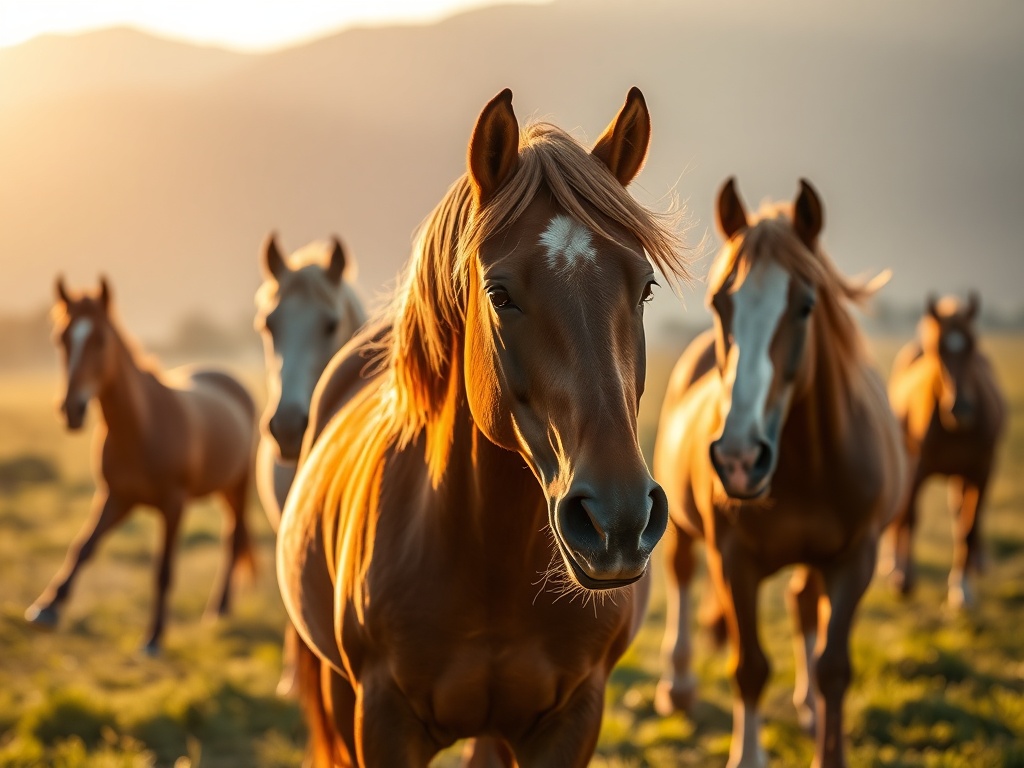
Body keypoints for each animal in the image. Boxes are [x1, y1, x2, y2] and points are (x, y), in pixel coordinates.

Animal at [25, 277, 257, 654]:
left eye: (100, 339)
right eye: (61, 338)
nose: (71, 409)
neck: (141, 427)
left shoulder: (174, 505)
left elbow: (163, 570)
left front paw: (154, 637)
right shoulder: (116, 497)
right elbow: (83, 547)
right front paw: (48, 607)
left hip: (236, 487)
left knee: (234, 541)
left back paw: (219, 610)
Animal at [653, 178, 905, 768]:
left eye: (806, 306)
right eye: (720, 302)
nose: (740, 459)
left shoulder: (855, 559)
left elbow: (835, 668)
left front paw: (828, 744)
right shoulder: (734, 561)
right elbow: (749, 668)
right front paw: (747, 755)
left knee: (802, 606)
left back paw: (808, 706)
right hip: (683, 533)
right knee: (680, 575)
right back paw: (678, 686)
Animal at [883, 293, 1006, 610]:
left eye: (972, 344)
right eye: (937, 349)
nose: (959, 408)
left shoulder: (981, 471)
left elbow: (968, 526)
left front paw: (962, 589)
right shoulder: (917, 468)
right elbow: (910, 516)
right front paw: (903, 578)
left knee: (963, 513)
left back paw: (977, 563)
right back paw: (891, 563)